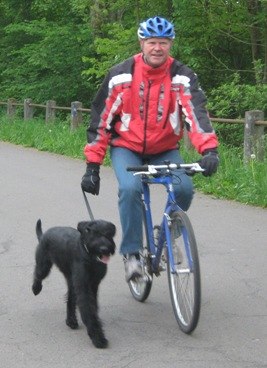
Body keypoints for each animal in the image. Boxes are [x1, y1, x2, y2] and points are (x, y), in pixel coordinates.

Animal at [31, 218, 115, 348]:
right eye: (94, 233)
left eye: (109, 234)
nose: (104, 249)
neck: (90, 257)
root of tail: (43, 235)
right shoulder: (84, 287)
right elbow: (88, 309)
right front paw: (98, 338)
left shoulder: (93, 284)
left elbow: (93, 307)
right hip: (44, 266)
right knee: (38, 274)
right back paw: (36, 288)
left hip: (71, 280)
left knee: (70, 299)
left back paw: (71, 321)